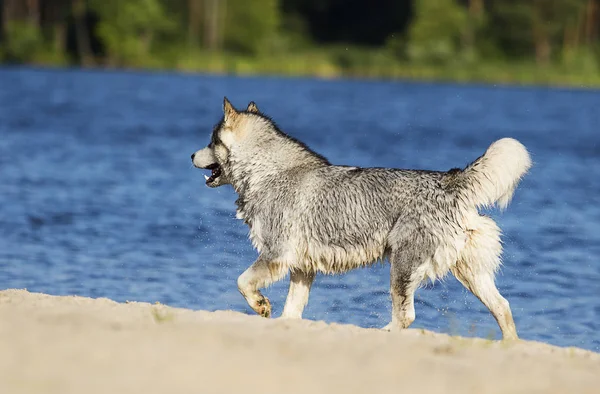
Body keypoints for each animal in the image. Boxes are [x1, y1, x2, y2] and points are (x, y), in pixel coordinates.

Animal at [191, 97, 528, 338]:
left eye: (210, 141)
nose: (191, 156)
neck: (268, 171)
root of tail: (450, 181)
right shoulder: (301, 268)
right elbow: (291, 311)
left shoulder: (276, 256)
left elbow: (242, 281)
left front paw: (260, 305)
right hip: (471, 273)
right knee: (503, 307)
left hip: (403, 267)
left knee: (406, 316)